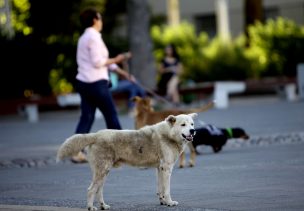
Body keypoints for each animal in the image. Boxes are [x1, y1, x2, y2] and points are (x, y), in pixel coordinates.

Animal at [57, 113, 197, 210]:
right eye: (183, 125)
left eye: (192, 124)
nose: (193, 131)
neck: (168, 134)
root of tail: (96, 134)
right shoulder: (167, 168)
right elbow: (166, 190)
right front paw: (169, 203)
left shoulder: (159, 168)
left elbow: (160, 189)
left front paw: (162, 202)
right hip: (102, 171)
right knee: (91, 190)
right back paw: (91, 207)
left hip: (104, 172)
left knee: (98, 190)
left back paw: (103, 206)